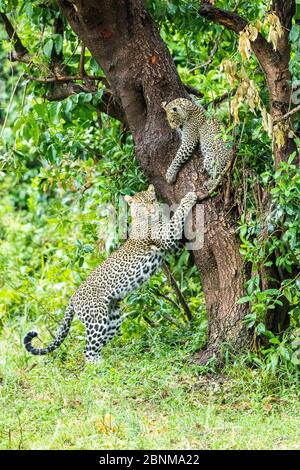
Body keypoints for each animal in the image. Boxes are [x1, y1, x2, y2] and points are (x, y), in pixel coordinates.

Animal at [23, 185, 197, 364]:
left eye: (153, 200)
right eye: (142, 205)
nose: (152, 210)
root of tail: (73, 297)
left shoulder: (171, 247)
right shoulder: (166, 238)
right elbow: (177, 218)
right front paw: (189, 198)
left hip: (112, 319)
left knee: (97, 345)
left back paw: (104, 363)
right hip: (97, 319)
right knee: (87, 350)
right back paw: (98, 366)